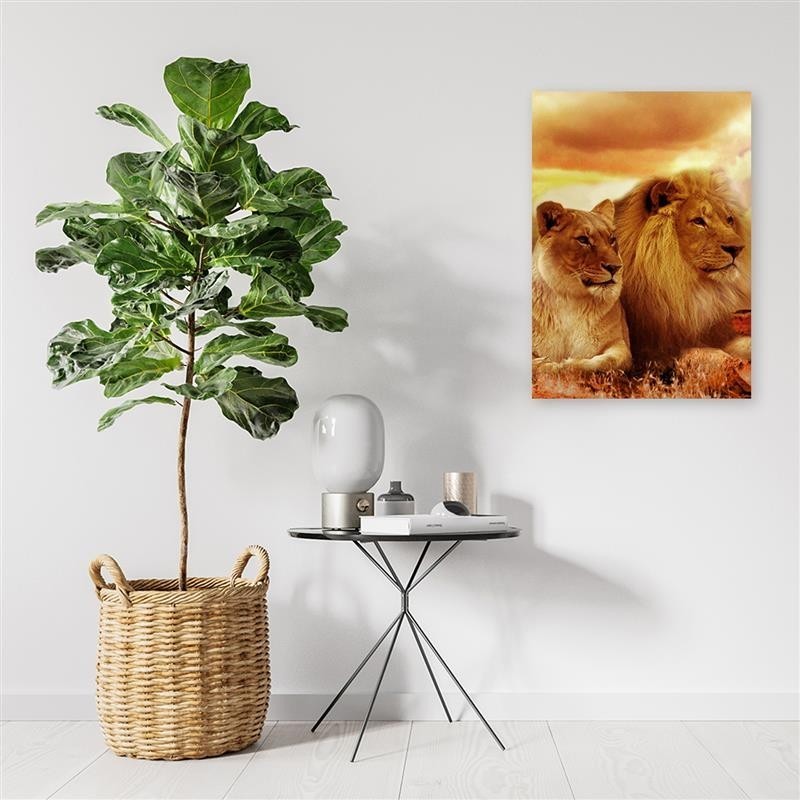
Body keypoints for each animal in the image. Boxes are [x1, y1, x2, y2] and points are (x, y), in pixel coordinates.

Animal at [533, 199, 632, 374]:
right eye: (583, 240)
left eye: (612, 239)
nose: (615, 267)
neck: (570, 298)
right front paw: (545, 364)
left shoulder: (620, 344)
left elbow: (607, 361)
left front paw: (567, 365)